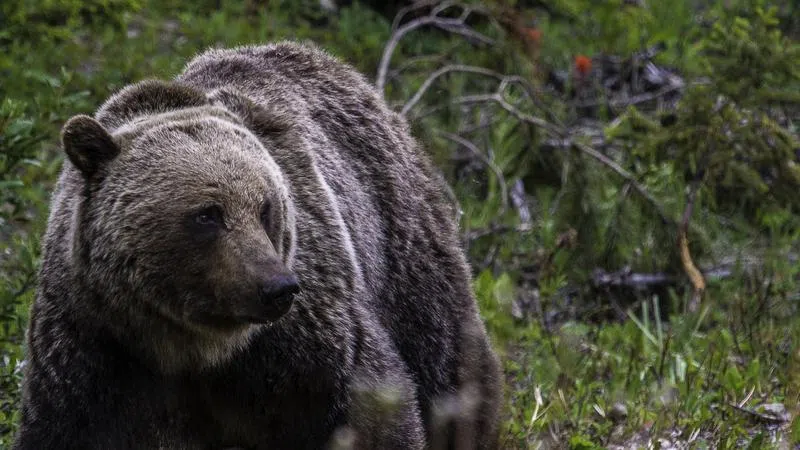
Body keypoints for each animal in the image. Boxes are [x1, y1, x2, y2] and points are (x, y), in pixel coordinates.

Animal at [14, 42, 500, 450]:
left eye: (266, 207)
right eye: (207, 214)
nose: (277, 287)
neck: (189, 347)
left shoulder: (307, 351)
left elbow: (374, 413)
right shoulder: (91, 346)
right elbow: (64, 428)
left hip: (405, 252)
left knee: (450, 372)